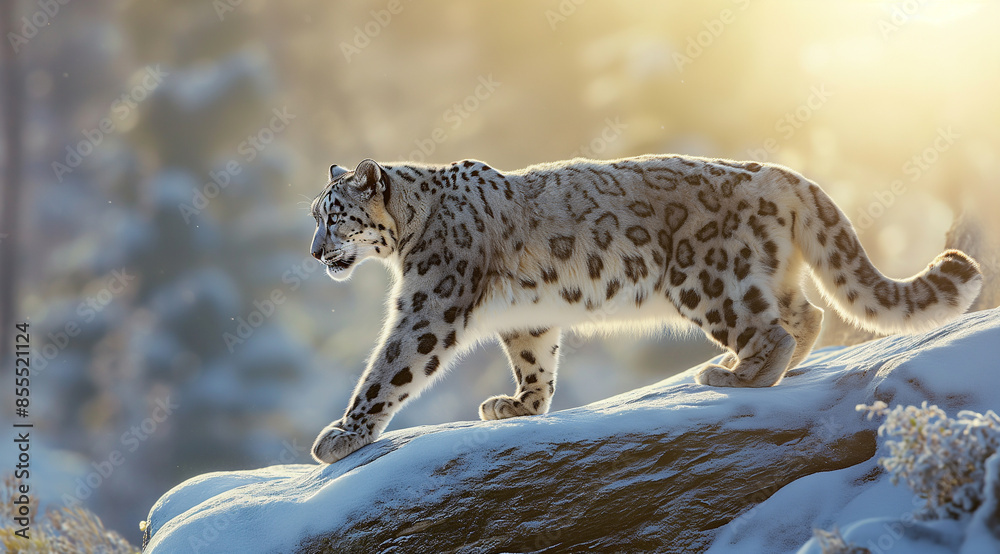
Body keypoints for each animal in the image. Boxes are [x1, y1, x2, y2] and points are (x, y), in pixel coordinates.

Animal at [308, 155, 983, 464]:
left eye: (334, 214)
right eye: (314, 215)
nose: (314, 252)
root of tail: (780, 173)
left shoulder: (430, 305)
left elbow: (389, 368)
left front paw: (342, 435)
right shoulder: (526, 317)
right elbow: (535, 359)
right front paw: (519, 406)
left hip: (707, 278)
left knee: (773, 329)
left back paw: (734, 375)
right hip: (764, 274)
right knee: (806, 314)